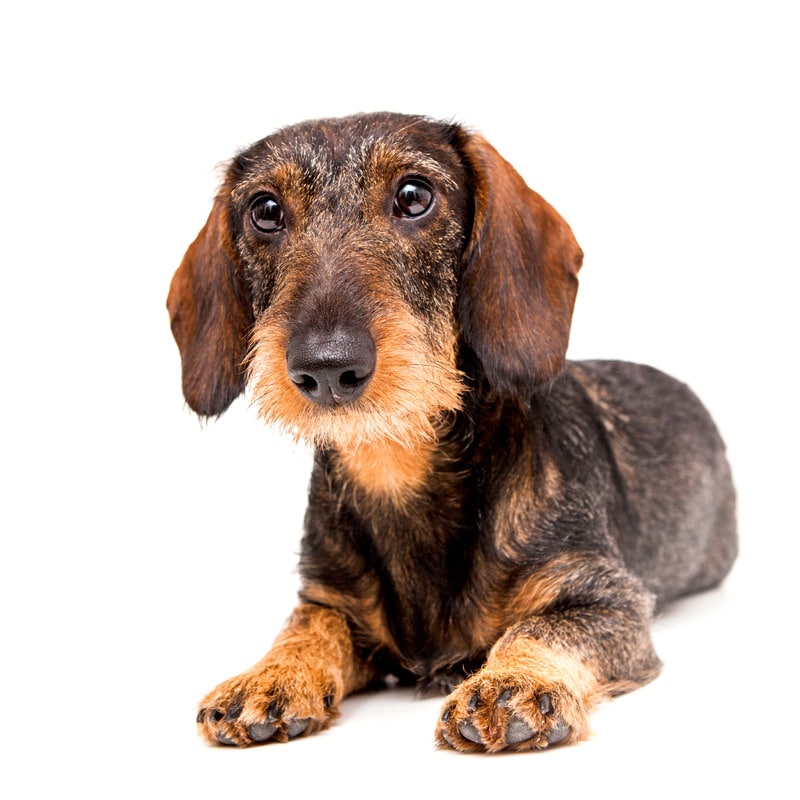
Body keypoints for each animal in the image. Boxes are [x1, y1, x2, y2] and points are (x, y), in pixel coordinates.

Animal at [169, 111, 736, 752]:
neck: (397, 468)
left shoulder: (609, 599)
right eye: (264, 210)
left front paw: (513, 683)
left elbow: (541, 630)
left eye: (415, 196)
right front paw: (271, 674)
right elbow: (307, 627)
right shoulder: (328, 600)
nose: (326, 367)